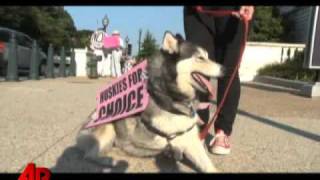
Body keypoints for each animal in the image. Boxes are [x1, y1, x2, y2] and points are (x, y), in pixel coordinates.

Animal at [76, 31, 224, 173]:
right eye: (200, 58)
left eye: (208, 56)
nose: (225, 69)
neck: (172, 97)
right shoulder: (174, 138)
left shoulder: (191, 140)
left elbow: (210, 167)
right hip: (108, 127)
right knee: (89, 155)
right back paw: (109, 161)